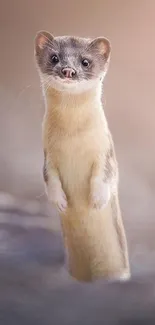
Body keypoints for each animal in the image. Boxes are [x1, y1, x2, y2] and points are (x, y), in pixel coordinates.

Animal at [34, 29, 130, 280]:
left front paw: (97, 199)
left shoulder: (104, 150)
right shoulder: (48, 156)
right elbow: (49, 178)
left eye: (85, 61)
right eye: (54, 57)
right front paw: (60, 201)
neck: (72, 139)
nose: (68, 70)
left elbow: (105, 175)